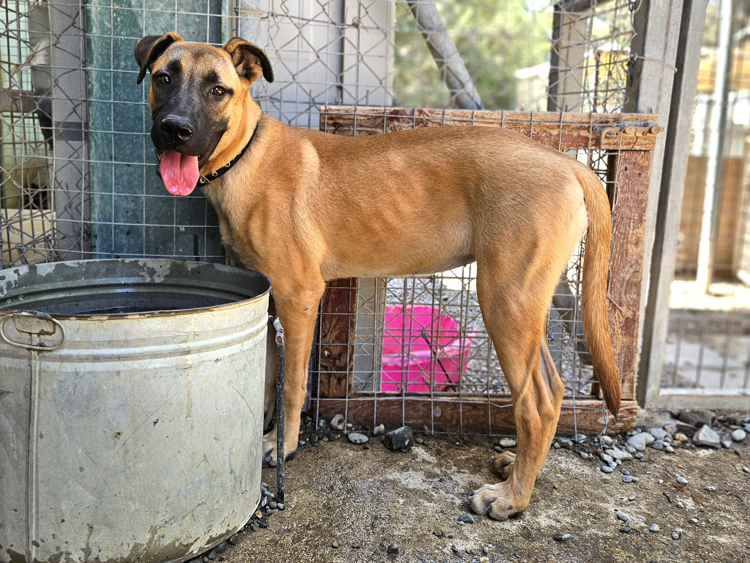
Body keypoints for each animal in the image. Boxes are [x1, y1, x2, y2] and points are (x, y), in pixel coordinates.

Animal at [137, 33, 624, 524]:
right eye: (163, 78)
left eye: (218, 90)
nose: (174, 129)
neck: (244, 156)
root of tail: (569, 163)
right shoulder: (270, 299)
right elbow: (268, 380)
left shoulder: (299, 295)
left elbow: (292, 385)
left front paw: (282, 445)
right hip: (525, 301)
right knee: (554, 390)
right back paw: (520, 467)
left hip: (504, 300)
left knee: (537, 403)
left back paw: (512, 496)